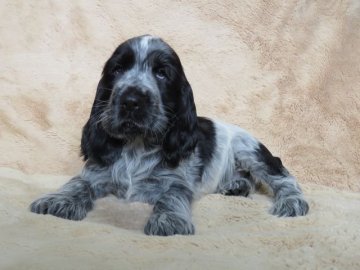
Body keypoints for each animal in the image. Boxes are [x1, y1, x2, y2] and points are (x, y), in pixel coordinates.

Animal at [29, 34, 308, 235]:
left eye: (162, 73)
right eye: (117, 70)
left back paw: (292, 203)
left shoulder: (177, 181)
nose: (131, 101)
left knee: (283, 176)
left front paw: (169, 221)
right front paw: (58, 200)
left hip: (249, 149)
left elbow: (171, 197)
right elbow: (77, 183)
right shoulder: (96, 172)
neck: (136, 145)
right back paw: (235, 185)